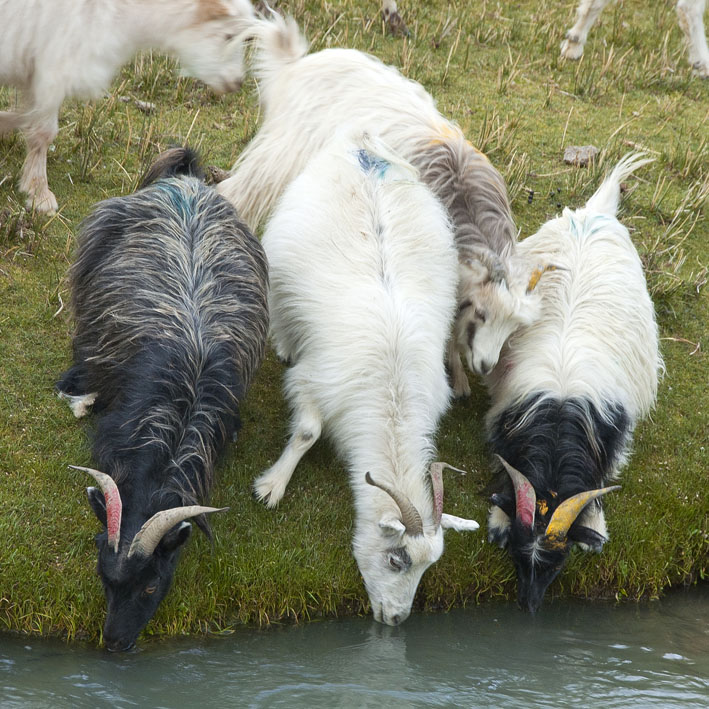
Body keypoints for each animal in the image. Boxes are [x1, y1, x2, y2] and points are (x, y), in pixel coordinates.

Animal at [218, 18, 524, 398]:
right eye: (481, 313)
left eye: (512, 326)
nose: (485, 365)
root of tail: (296, 64)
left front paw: (461, 379)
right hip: (279, 155)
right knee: (234, 192)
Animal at [254, 133, 476, 624]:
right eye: (397, 559)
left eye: (429, 566)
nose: (396, 620)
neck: (391, 398)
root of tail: (362, 145)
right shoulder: (314, 381)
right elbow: (307, 431)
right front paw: (273, 486)